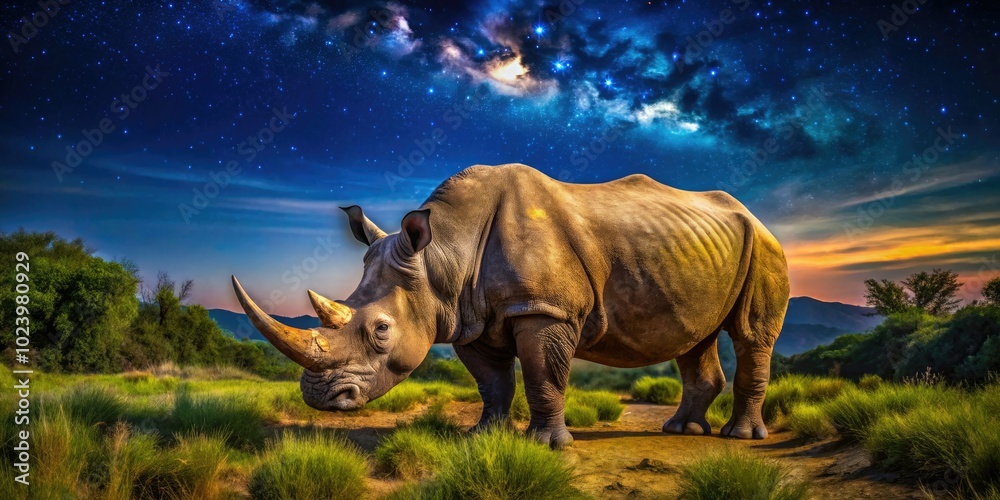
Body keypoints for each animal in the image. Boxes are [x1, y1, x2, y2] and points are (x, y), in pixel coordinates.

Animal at [232, 164, 789, 448]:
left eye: (381, 331)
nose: (320, 399)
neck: (442, 254)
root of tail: (755, 217)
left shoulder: (544, 308)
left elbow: (544, 373)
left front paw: (547, 446)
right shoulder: (465, 316)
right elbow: (492, 382)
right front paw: (484, 435)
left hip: (764, 244)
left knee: (751, 334)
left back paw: (740, 438)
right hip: (699, 253)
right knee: (695, 336)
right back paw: (681, 431)